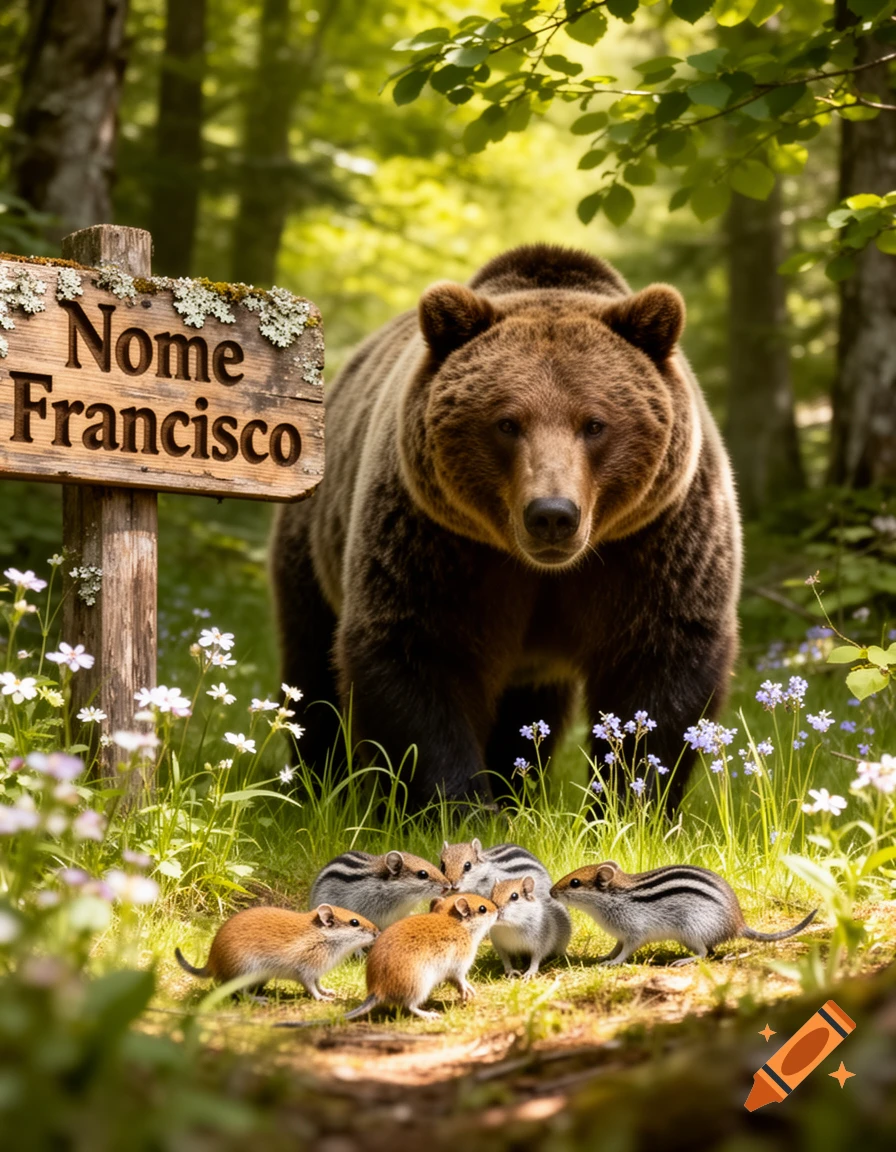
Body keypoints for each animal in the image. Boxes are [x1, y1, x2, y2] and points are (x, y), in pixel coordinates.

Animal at [270, 244, 741, 809]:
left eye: (594, 423)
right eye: (507, 422)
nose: (553, 514)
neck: (542, 570)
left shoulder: (656, 541)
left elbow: (660, 671)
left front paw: (628, 801)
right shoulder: (437, 543)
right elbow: (417, 659)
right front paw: (460, 807)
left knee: (526, 714)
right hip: (313, 534)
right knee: (311, 667)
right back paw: (320, 785)